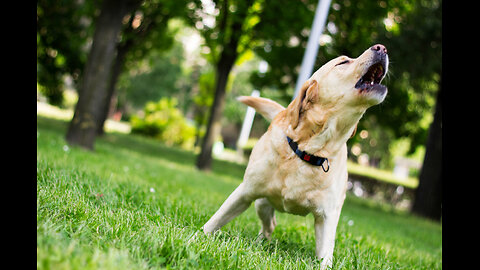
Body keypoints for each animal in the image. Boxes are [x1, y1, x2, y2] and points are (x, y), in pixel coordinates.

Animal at [201, 44, 388, 268]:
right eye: (343, 62)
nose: (382, 48)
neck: (309, 152)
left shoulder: (327, 217)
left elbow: (325, 256)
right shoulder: (245, 192)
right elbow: (214, 221)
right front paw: (197, 238)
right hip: (261, 203)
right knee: (269, 224)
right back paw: (261, 241)